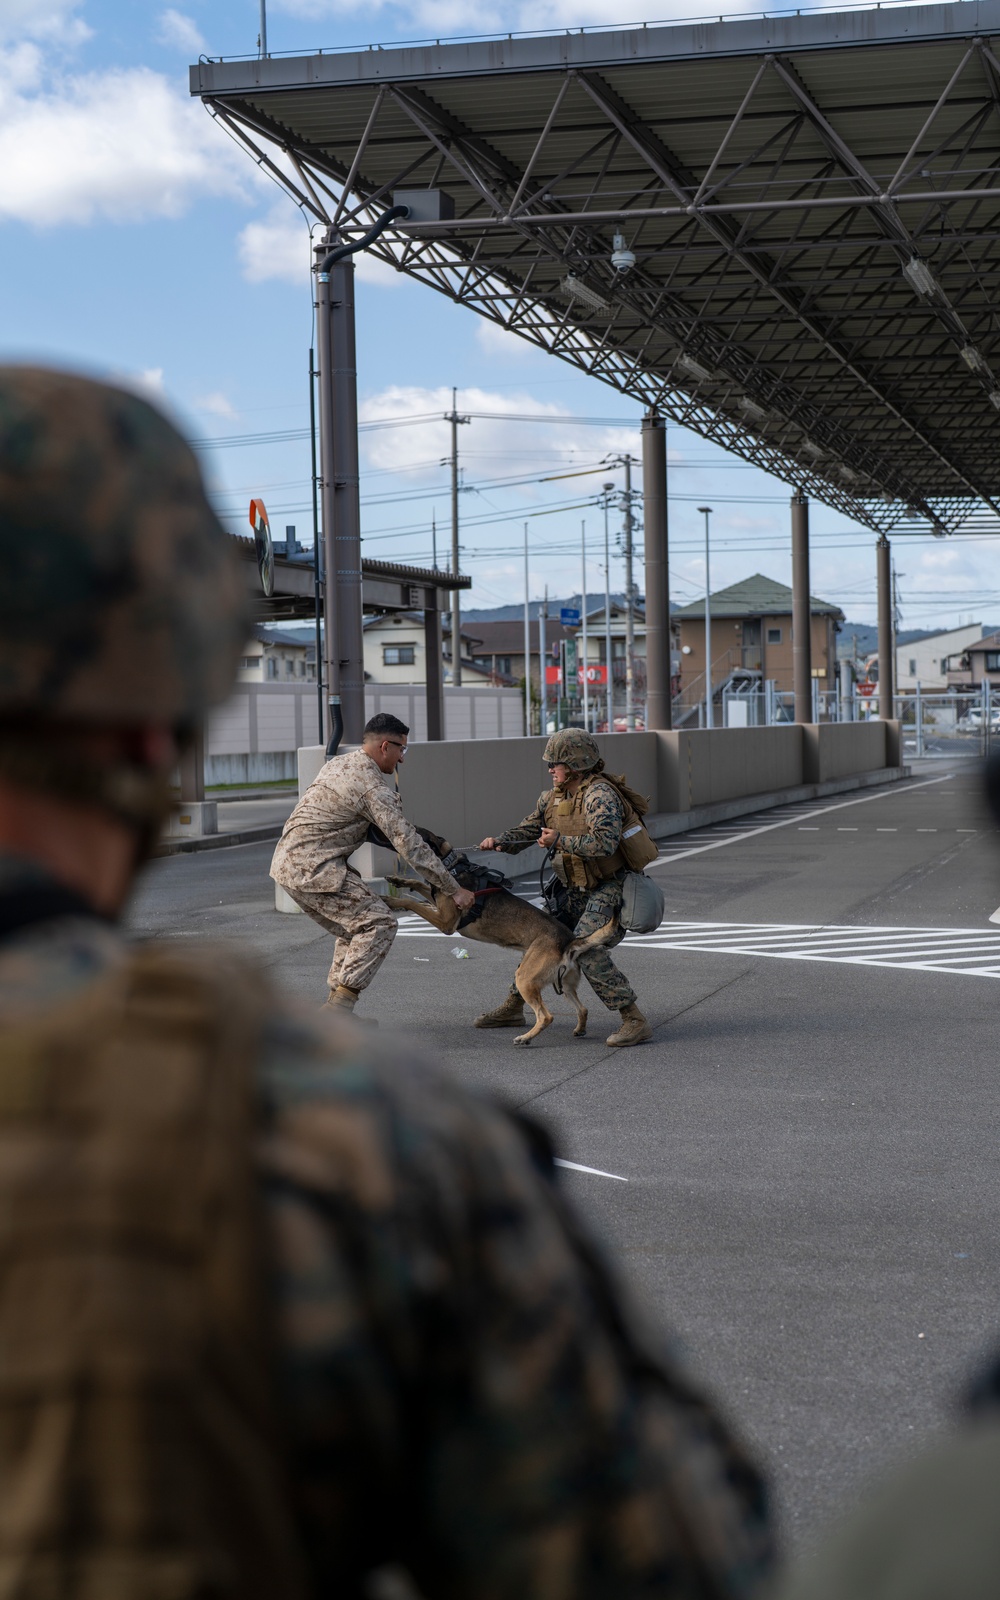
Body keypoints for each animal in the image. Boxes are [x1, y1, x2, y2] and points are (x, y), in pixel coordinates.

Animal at [382, 832, 617, 1043]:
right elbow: (420, 888)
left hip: (525, 978)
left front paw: (391, 900)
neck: (451, 864)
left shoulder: (446, 923)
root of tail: (568, 942)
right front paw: (398, 880)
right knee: (583, 1009)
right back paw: (579, 1030)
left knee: (546, 1016)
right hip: (565, 985)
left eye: (415, 833)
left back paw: (525, 1038)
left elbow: (413, 903)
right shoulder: (438, 905)